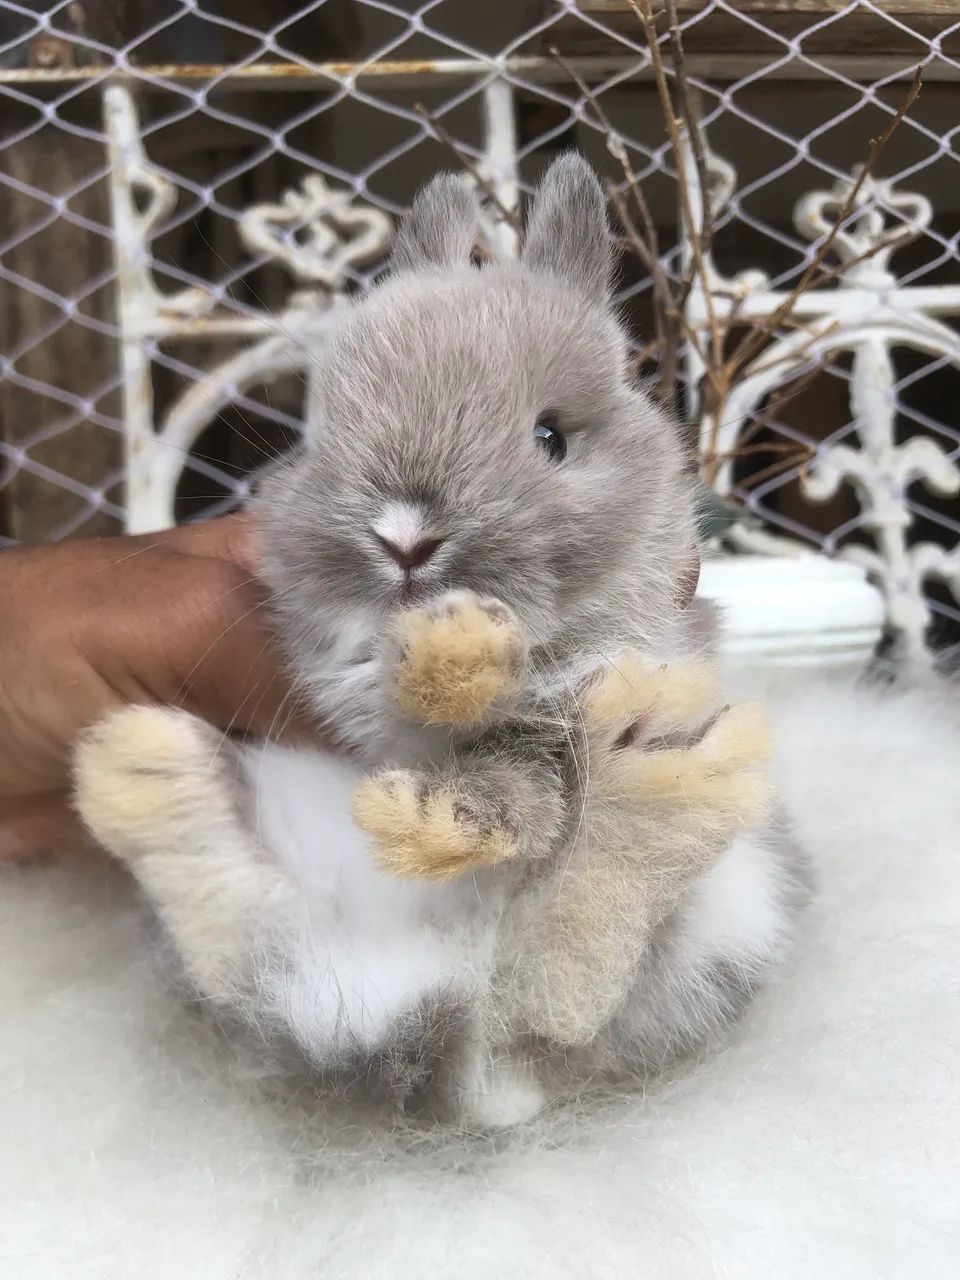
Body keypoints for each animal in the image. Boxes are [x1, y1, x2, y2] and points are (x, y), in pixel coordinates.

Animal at [73, 154, 807, 1130]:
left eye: (550, 436)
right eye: (324, 430)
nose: (404, 536)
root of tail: (462, 1056)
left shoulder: (616, 663)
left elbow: (520, 774)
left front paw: (448, 701)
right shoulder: (329, 674)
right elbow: (420, 720)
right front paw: (451, 665)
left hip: (736, 899)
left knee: (558, 987)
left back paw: (661, 785)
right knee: (262, 943)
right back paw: (144, 776)